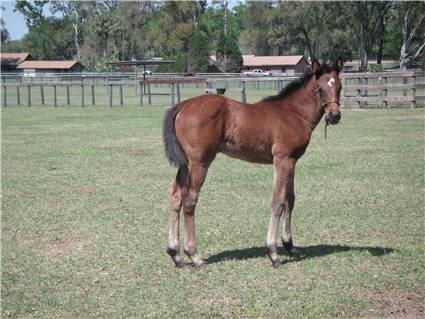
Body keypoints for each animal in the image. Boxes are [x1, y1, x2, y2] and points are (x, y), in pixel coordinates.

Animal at [164, 58, 342, 268]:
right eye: (320, 89)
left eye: (339, 87)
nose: (335, 116)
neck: (294, 113)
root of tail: (182, 105)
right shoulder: (282, 160)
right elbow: (278, 202)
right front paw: (273, 253)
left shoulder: (292, 161)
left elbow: (290, 200)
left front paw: (290, 247)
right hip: (200, 161)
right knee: (190, 198)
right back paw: (194, 255)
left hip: (185, 163)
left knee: (176, 196)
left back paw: (176, 255)